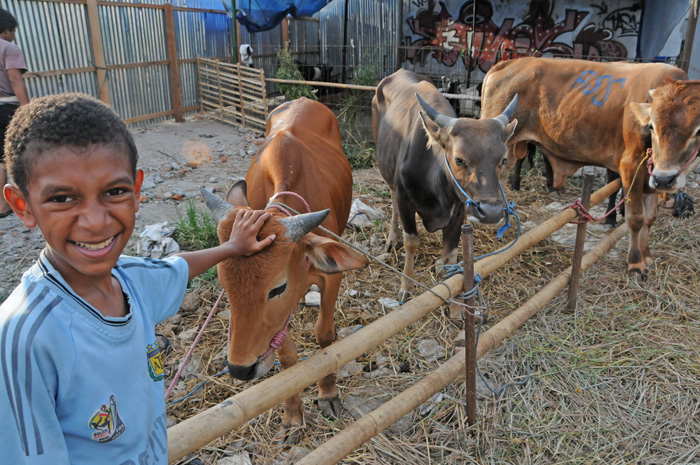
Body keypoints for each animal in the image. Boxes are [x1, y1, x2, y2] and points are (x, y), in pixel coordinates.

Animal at [201, 96, 366, 440]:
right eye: (225, 286)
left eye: (277, 287)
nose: (240, 369)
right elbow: (287, 357)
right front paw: (292, 414)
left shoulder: (331, 278)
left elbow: (325, 337)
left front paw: (328, 394)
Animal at [482, 57, 688, 276]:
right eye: (653, 125)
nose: (668, 179)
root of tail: (510, 63)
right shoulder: (629, 163)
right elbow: (635, 215)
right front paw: (634, 261)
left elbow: (648, 214)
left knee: (502, 176)